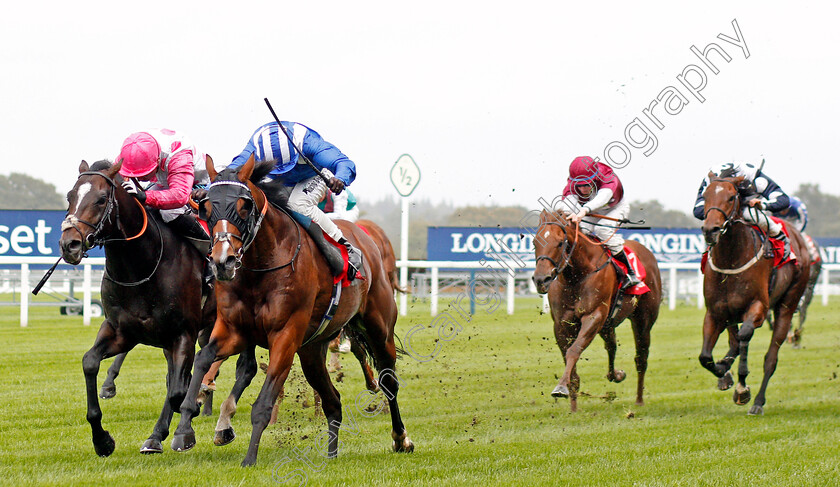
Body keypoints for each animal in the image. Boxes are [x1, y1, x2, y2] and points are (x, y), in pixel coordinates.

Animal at [59, 162, 217, 456]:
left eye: (101, 199)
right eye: (69, 196)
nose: (69, 244)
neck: (143, 265)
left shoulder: (184, 332)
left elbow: (178, 391)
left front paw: (185, 428)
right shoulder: (123, 330)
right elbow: (90, 362)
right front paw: (102, 439)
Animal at [171, 155, 414, 466]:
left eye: (244, 205)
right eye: (206, 206)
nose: (223, 261)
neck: (261, 268)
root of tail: (367, 238)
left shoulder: (285, 336)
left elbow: (262, 403)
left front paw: (249, 458)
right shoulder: (234, 331)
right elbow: (203, 359)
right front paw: (184, 430)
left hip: (378, 328)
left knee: (388, 382)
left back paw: (401, 438)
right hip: (311, 350)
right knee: (333, 400)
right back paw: (331, 454)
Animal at [532, 209, 664, 412]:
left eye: (560, 242)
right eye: (534, 242)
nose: (541, 279)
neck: (578, 274)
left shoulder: (594, 316)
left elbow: (574, 350)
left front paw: (560, 387)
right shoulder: (562, 323)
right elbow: (569, 356)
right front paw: (573, 406)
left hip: (643, 319)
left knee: (641, 357)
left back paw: (639, 400)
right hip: (608, 324)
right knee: (612, 345)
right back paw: (616, 375)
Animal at [696, 175, 808, 416]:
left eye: (731, 197)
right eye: (705, 196)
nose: (711, 230)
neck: (731, 258)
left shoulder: (759, 308)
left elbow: (745, 335)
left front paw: (742, 387)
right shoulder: (715, 312)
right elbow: (705, 357)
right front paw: (723, 371)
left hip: (788, 304)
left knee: (770, 358)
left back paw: (757, 401)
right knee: (733, 340)